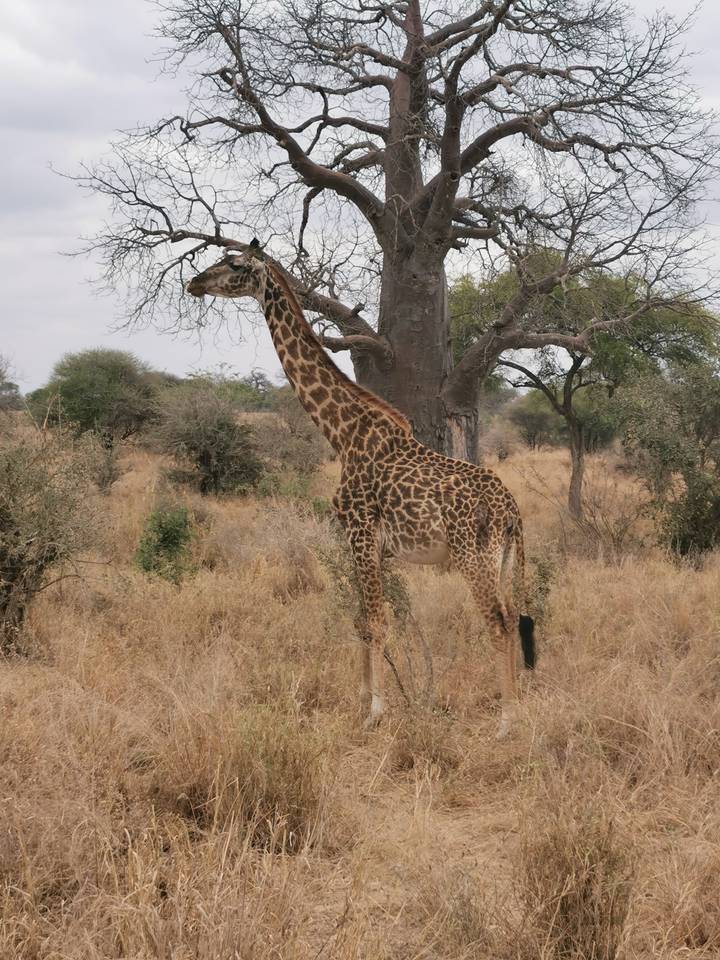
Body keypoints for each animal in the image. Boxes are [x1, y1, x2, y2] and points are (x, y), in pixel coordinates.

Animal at [185, 241, 536, 737]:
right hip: (502, 558)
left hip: (473, 554)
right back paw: (516, 708)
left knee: (500, 622)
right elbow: (361, 619)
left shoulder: (360, 532)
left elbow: (374, 620)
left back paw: (506, 722)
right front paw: (362, 701)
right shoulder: (369, 543)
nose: (193, 282)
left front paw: (375, 711)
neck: (342, 432)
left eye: (234, 264)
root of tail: (511, 511)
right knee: (509, 615)